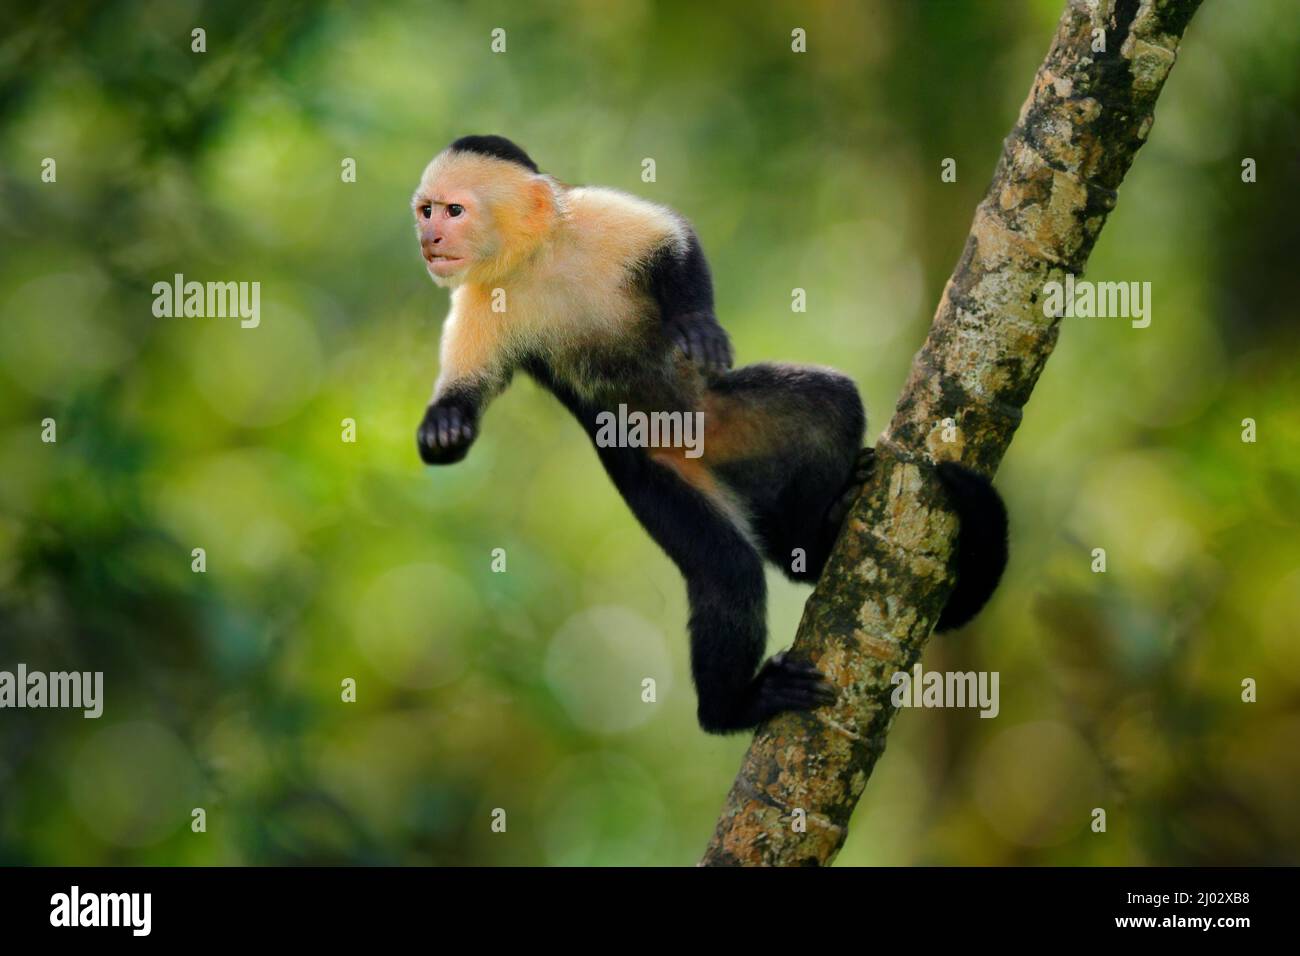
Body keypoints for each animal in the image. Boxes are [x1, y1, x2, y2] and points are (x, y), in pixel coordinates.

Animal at [410, 132, 1008, 733]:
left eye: (453, 210)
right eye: (426, 210)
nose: (428, 238)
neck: (535, 261)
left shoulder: (588, 220)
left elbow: (674, 239)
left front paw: (696, 323)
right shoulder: (482, 298)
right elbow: (462, 400)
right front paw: (445, 425)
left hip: (731, 416)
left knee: (831, 400)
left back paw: (816, 540)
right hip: (648, 466)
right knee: (727, 571)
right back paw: (733, 707)